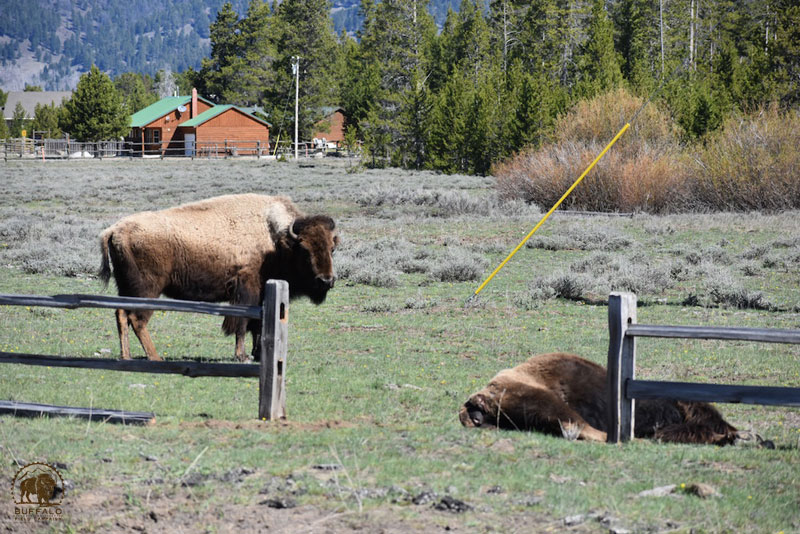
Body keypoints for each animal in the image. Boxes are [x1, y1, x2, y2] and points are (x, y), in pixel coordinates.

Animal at [99, 194, 338, 361]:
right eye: (304, 250)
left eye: (332, 248)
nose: (326, 281)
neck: (274, 238)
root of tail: (114, 230)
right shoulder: (246, 291)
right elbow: (242, 325)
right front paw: (242, 356)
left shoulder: (262, 295)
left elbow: (258, 325)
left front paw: (258, 354)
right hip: (148, 290)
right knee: (137, 319)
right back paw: (155, 357)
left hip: (127, 288)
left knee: (121, 314)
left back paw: (127, 356)